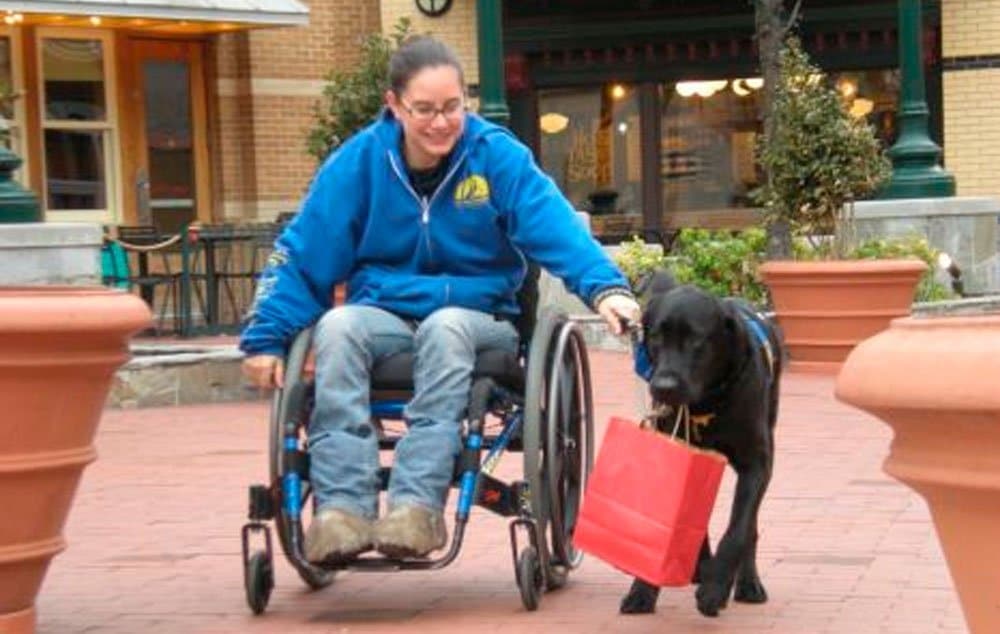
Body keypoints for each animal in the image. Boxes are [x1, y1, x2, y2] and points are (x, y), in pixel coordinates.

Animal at [620, 270, 784, 616]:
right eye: (656, 336)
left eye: (696, 339)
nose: (663, 386)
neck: (706, 401)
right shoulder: (678, 454)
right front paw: (643, 590)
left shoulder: (756, 464)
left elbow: (739, 529)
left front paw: (716, 587)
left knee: (751, 527)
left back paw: (747, 583)